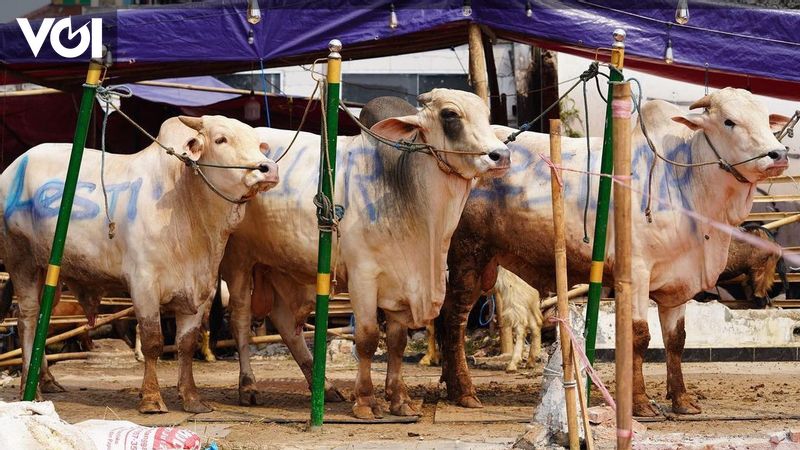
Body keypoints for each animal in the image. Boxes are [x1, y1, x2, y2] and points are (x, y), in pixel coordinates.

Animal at [0, 114, 278, 414]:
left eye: (258, 144)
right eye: (220, 139)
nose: (268, 168)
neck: (186, 206)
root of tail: (14, 166)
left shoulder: (201, 290)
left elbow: (186, 344)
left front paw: (191, 398)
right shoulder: (143, 284)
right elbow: (153, 341)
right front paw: (152, 398)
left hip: (49, 271)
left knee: (42, 317)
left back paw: (47, 379)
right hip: (21, 261)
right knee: (27, 319)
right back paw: (30, 389)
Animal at [219, 88, 506, 418]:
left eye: (486, 115)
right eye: (450, 114)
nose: (501, 155)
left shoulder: (401, 281)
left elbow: (397, 342)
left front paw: (400, 400)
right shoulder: (363, 276)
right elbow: (368, 338)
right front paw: (366, 401)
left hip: (287, 268)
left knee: (287, 324)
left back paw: (325, 388)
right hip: (239, 261)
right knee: (240, 320)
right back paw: (248, 386)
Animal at [438, 88, 792, 418]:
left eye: (765, 119)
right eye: (729, 121)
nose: (778, 154)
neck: (686, 181)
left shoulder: (678, 281)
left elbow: (676, 340)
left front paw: (682, 400)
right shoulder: (636, 273)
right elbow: (639, 336)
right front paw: (640, 403)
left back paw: (449, 385)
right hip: (467, 255)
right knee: (454, 319)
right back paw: (464, 392)